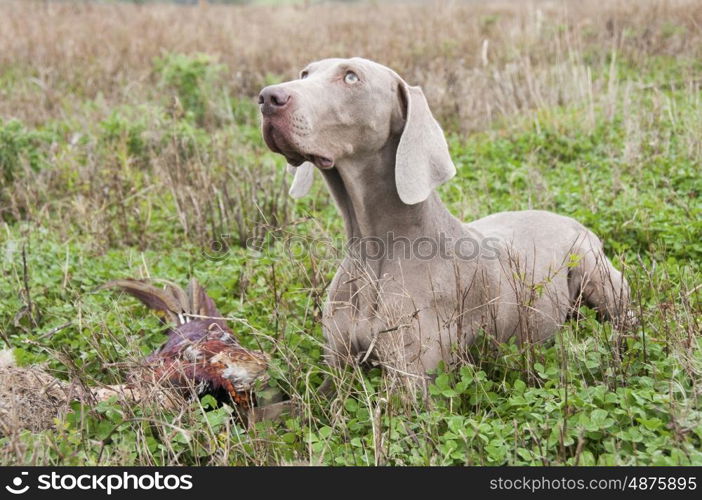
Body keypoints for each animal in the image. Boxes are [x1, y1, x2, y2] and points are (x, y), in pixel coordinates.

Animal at [258, 57, 632, 386]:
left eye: (351, 77)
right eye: (305, 73)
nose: (267, 98)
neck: (373, 249)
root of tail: (570, 219)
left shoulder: (413, 383)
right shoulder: (336, 372)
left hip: (599, 279)